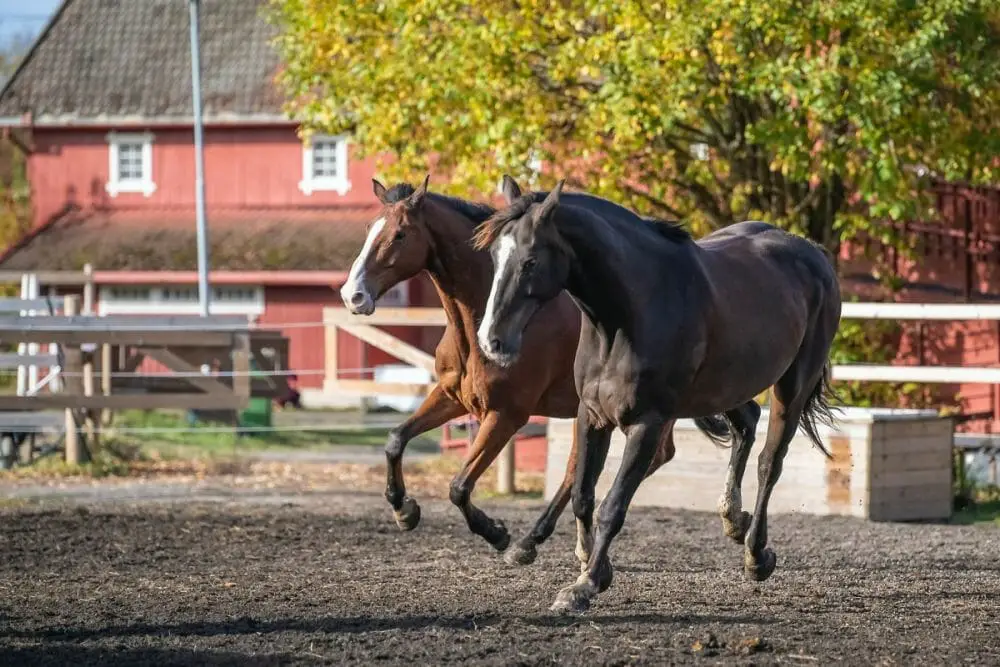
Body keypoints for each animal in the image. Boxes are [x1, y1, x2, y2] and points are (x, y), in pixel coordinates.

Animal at [338, 175, 746, 565]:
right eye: (370, 228)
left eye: (400, 234)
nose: (352, 295)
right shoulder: (454, 397)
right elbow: (396, 439)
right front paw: (403, 510)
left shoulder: (506, 415)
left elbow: (459, 486)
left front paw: (496, 533)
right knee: (632, 460)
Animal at [474, 176, 841, 613]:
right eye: (494, 256)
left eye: (530, 261)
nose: (492, 341)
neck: (627, 315)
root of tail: (813, 253)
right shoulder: (591, 416)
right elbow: (582, 494)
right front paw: (589, 565)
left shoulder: (647, 424)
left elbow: (613, 505)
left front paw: (585, 585)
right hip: (728, 385)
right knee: (747, 423)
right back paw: (733, 520)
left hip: (792, 385)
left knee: (770, 462)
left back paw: (756, 554)